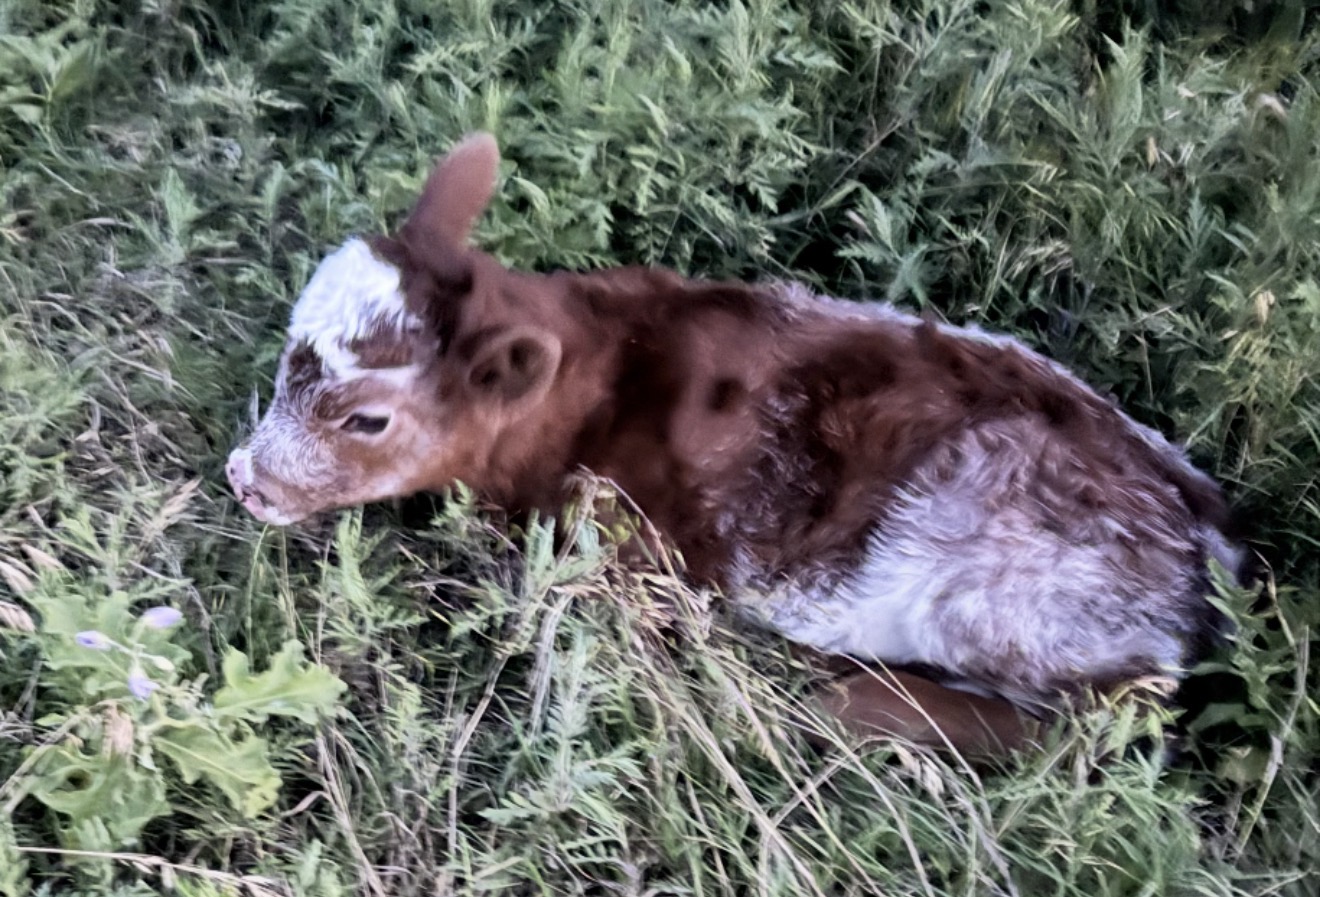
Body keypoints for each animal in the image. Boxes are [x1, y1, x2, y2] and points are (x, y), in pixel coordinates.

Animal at [226, 133, 1244, 754]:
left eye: (366, 418)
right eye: (284, 354)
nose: (243, 476)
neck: (602, 373)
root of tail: (1211, 536)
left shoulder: (632, 554)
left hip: (1001, 590)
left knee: (1102, 724)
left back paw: (853, 695)